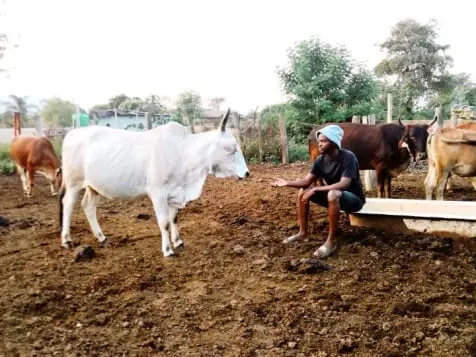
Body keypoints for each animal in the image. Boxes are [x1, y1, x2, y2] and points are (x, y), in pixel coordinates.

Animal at [59, 108, 249, 256]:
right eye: (231, 149)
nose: (246, 173)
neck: (183, 153)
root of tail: (72, 133)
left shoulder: (174, 193)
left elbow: (174, 219)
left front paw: (178, 241)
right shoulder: (158, 193)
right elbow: (164, 222)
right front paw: (168, 249)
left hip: (93, 186)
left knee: (88, 207)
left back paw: (101, 237)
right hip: (73, 183)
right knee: (68, 205)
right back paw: (66, 240)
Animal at [308, 118, 436, 199]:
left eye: (426, 136)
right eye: (412, 137)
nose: (422, 155)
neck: (394, 142)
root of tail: (313, 132)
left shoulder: (389, 169)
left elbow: (388, 187)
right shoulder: (380, 167)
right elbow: (380, 188)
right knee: (318, 179)